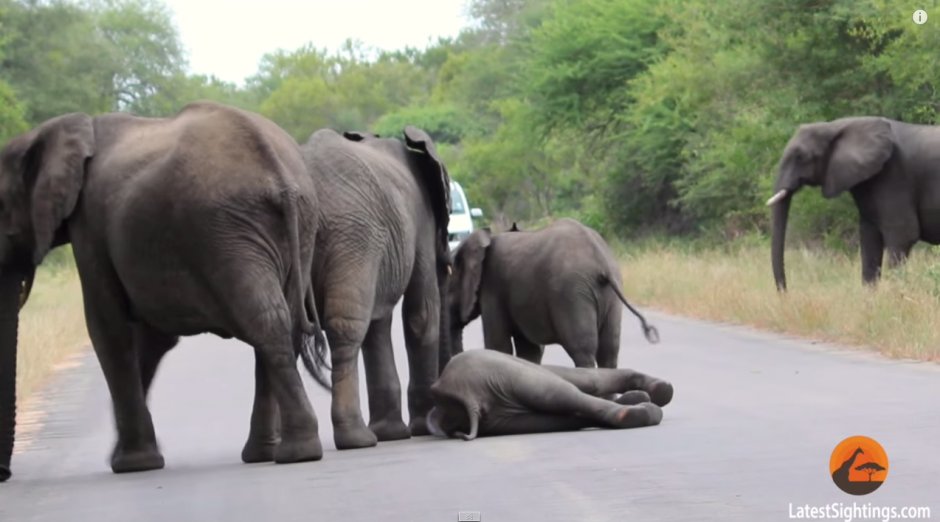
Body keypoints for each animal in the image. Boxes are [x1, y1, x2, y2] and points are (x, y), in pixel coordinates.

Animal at [0, 98, 334, 480]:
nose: (5, 473)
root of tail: (279, 175)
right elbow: (152, 340)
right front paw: (130, 455)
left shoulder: (90, 227)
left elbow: (107, 327)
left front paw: (131, 465)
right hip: (294, 228)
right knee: (283, 323)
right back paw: (269, 453)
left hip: (226, 231)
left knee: (265, 320)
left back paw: (294, 453)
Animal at [298, 126, 452, 446]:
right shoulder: (419, 220)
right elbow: (422, 315)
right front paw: (420, 429)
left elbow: (378, 323)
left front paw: (392, 434)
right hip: (353, 238)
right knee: (345, 330)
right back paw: (357, 438)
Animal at [442, 216, 656, 370]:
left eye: (449, 277)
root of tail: (601, 263)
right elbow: (529, 351)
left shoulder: (492, 287)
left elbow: (498, 346)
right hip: (609, 295)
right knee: (608, 351)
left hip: (571, 293)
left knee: (583, 350)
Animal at [768, 116, 940, 290]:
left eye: (800, 157)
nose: (785, 292)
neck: (835, 126)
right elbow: (869, 238)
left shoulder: (894, 176)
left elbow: (903, 234)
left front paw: (897, 292)